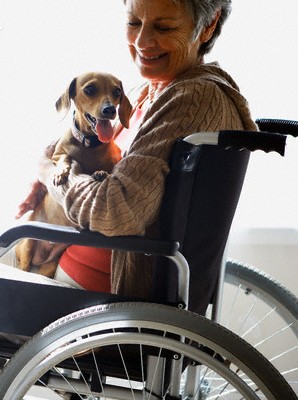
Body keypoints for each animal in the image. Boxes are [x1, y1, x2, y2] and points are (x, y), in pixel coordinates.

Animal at [14, 72, 132, 278]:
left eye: (117, 91)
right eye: (90, 89)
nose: (110, 109)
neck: (89, 144)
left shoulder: (114, 162)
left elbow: (109, 169)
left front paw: (101, 172)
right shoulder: (56, 155)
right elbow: (65, 158)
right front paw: (61, 173)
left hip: (50, 265)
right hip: (28, 245)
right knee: (25, 266)